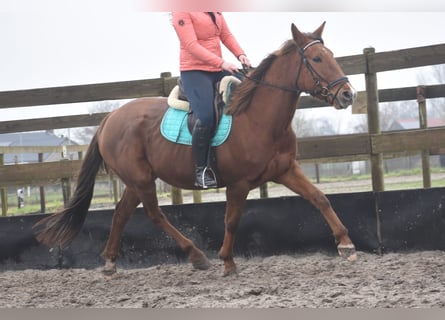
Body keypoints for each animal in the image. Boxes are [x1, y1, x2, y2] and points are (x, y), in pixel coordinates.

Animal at [33, 23, 358, 278]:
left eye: (332, 56)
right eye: (317, 58)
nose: (347, 95)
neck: (256, 117)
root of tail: (109, 119)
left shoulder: (286, 170)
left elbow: (320, 198)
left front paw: (346, 245)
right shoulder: (239, 184)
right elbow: (231, 220)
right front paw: (227, 263)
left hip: (137, 181)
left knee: (122, 214)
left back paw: (111, 263)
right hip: (140, 179)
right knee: (153, 214)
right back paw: (196, 255)